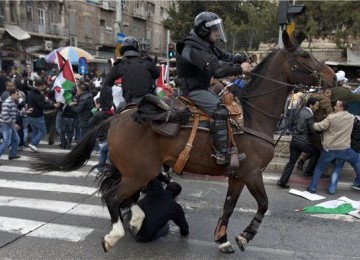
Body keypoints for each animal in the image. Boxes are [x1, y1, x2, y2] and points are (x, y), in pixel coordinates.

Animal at [32, 31, 336, 254]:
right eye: (305, 54)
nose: (332, 76)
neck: (252, 117)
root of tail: (118, 117)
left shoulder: (238, 175)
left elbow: (228, 206)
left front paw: (223, 238)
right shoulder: (252, 173)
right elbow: (263, 204)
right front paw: (244, 236)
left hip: (137, 171)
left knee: (121, 194)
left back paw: (135, 219)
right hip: (140, 171)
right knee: (113, 196)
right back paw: (115, 233)